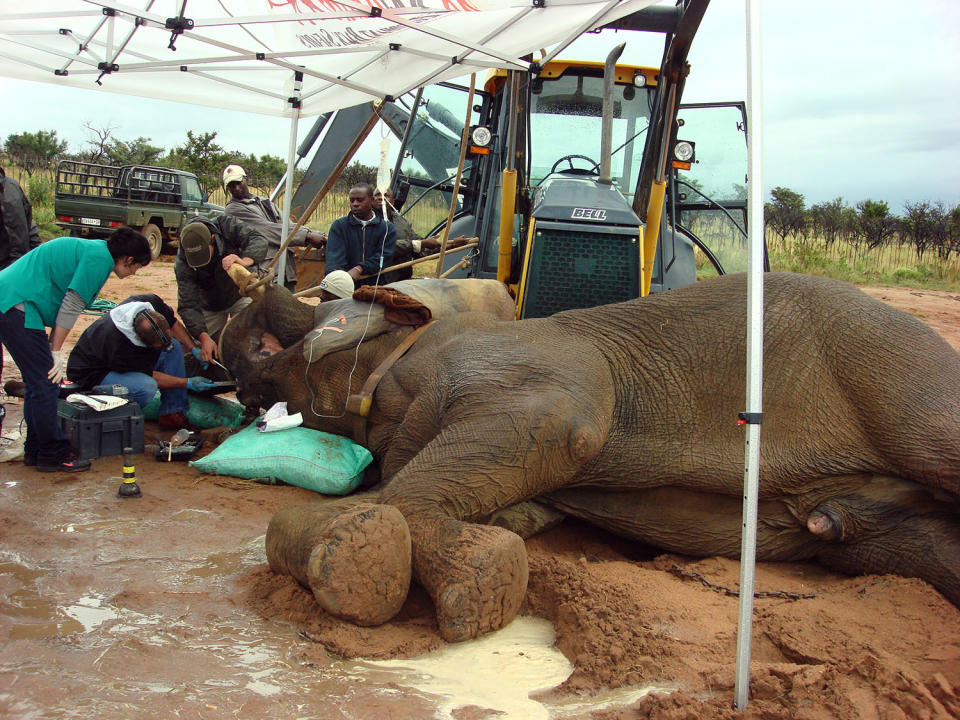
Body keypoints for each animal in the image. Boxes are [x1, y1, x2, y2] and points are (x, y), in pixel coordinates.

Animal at [221, 274, 960, 640]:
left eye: (327, 317)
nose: (243, 287)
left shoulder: (541, 370)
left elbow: (560, 428)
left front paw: (378, 567)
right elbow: (518, 504)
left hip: (893, 369)